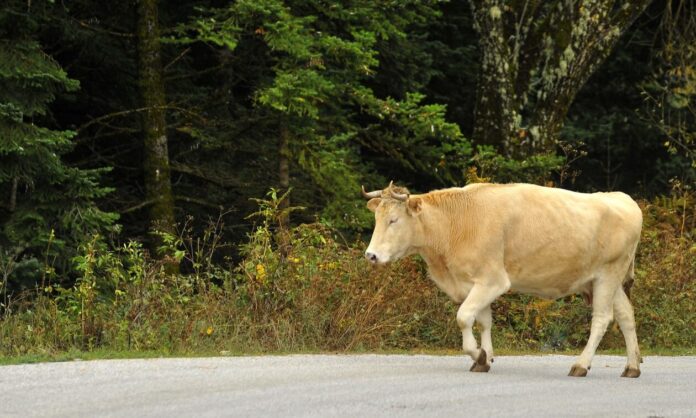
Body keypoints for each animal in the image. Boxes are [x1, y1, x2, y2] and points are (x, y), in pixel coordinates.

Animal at [362, 181, 643, 377]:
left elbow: (463, 317)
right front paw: (485, 358)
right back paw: (632, 367)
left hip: (608, 275)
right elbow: (483, 321)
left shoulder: (493, 280)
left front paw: (478, 354)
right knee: (626, 316)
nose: (371, 255)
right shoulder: (475, 283)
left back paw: (581, 365)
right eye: (376, 218)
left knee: (602, 319)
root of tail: (620, 197)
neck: (454, 225)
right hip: (606, 281)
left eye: (394, 220)